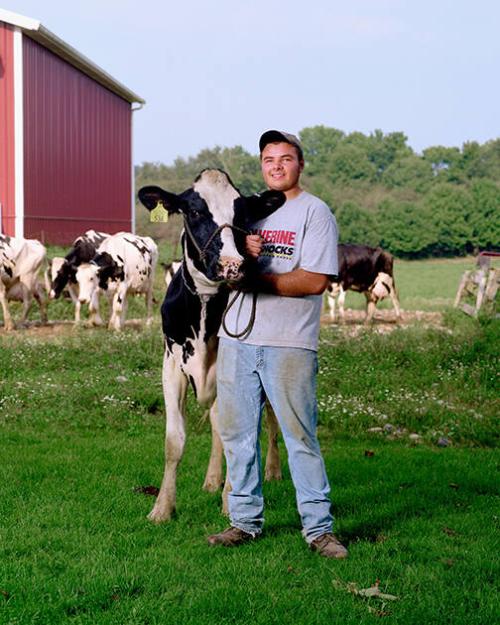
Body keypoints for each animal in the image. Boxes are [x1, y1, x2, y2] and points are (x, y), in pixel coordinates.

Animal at [138, 167, 286, 520]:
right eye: (193, 211)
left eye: (242, 214)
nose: (231, 264)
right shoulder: (171, 365)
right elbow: (174, 440)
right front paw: (162, 508)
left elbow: (243, 436)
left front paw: (232, 504)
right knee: (219, 424)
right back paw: (212, 479)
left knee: (271, 418)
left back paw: (272, 471)